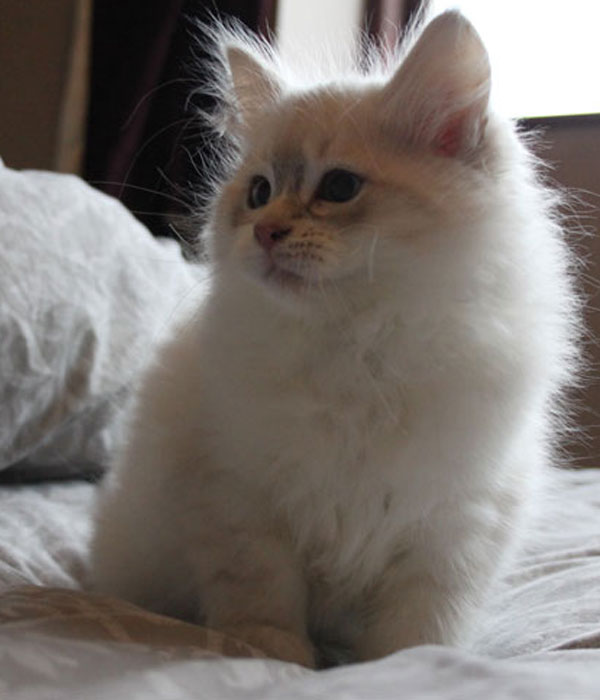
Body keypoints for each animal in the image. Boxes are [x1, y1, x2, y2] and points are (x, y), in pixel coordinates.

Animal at [90, 12, 580, 668]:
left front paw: (400, 668)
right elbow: (265, 599)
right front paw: (278, 657)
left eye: (340, 187)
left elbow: (415, 632)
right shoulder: (239, 497)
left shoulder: (452, 526)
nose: (266, 232)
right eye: (259, 193)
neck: (358, 344)